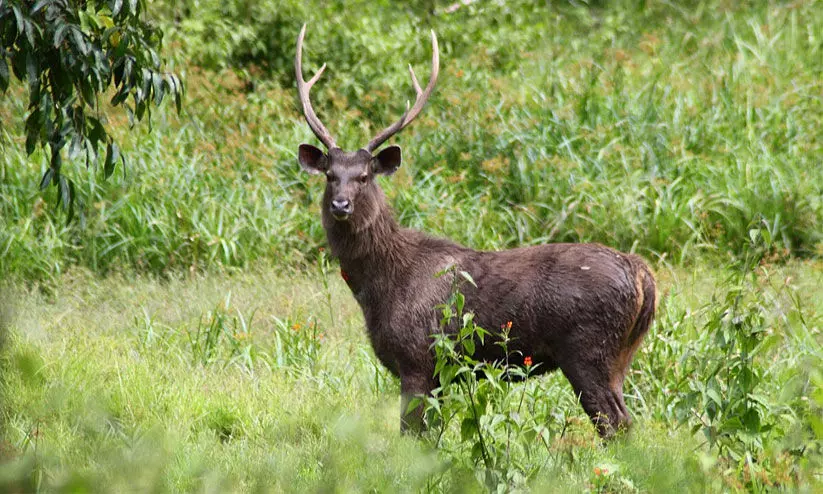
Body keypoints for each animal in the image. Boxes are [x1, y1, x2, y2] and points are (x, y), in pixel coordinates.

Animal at [294, 25, 656, 438]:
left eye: (364, 176)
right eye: (329, 175)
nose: (341, 205)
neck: (380, 286)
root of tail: (643, 275)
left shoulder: (419, 357)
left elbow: (411, 436)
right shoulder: (440, 372)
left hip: (588, 349)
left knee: (615, 425)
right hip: (621, 355)